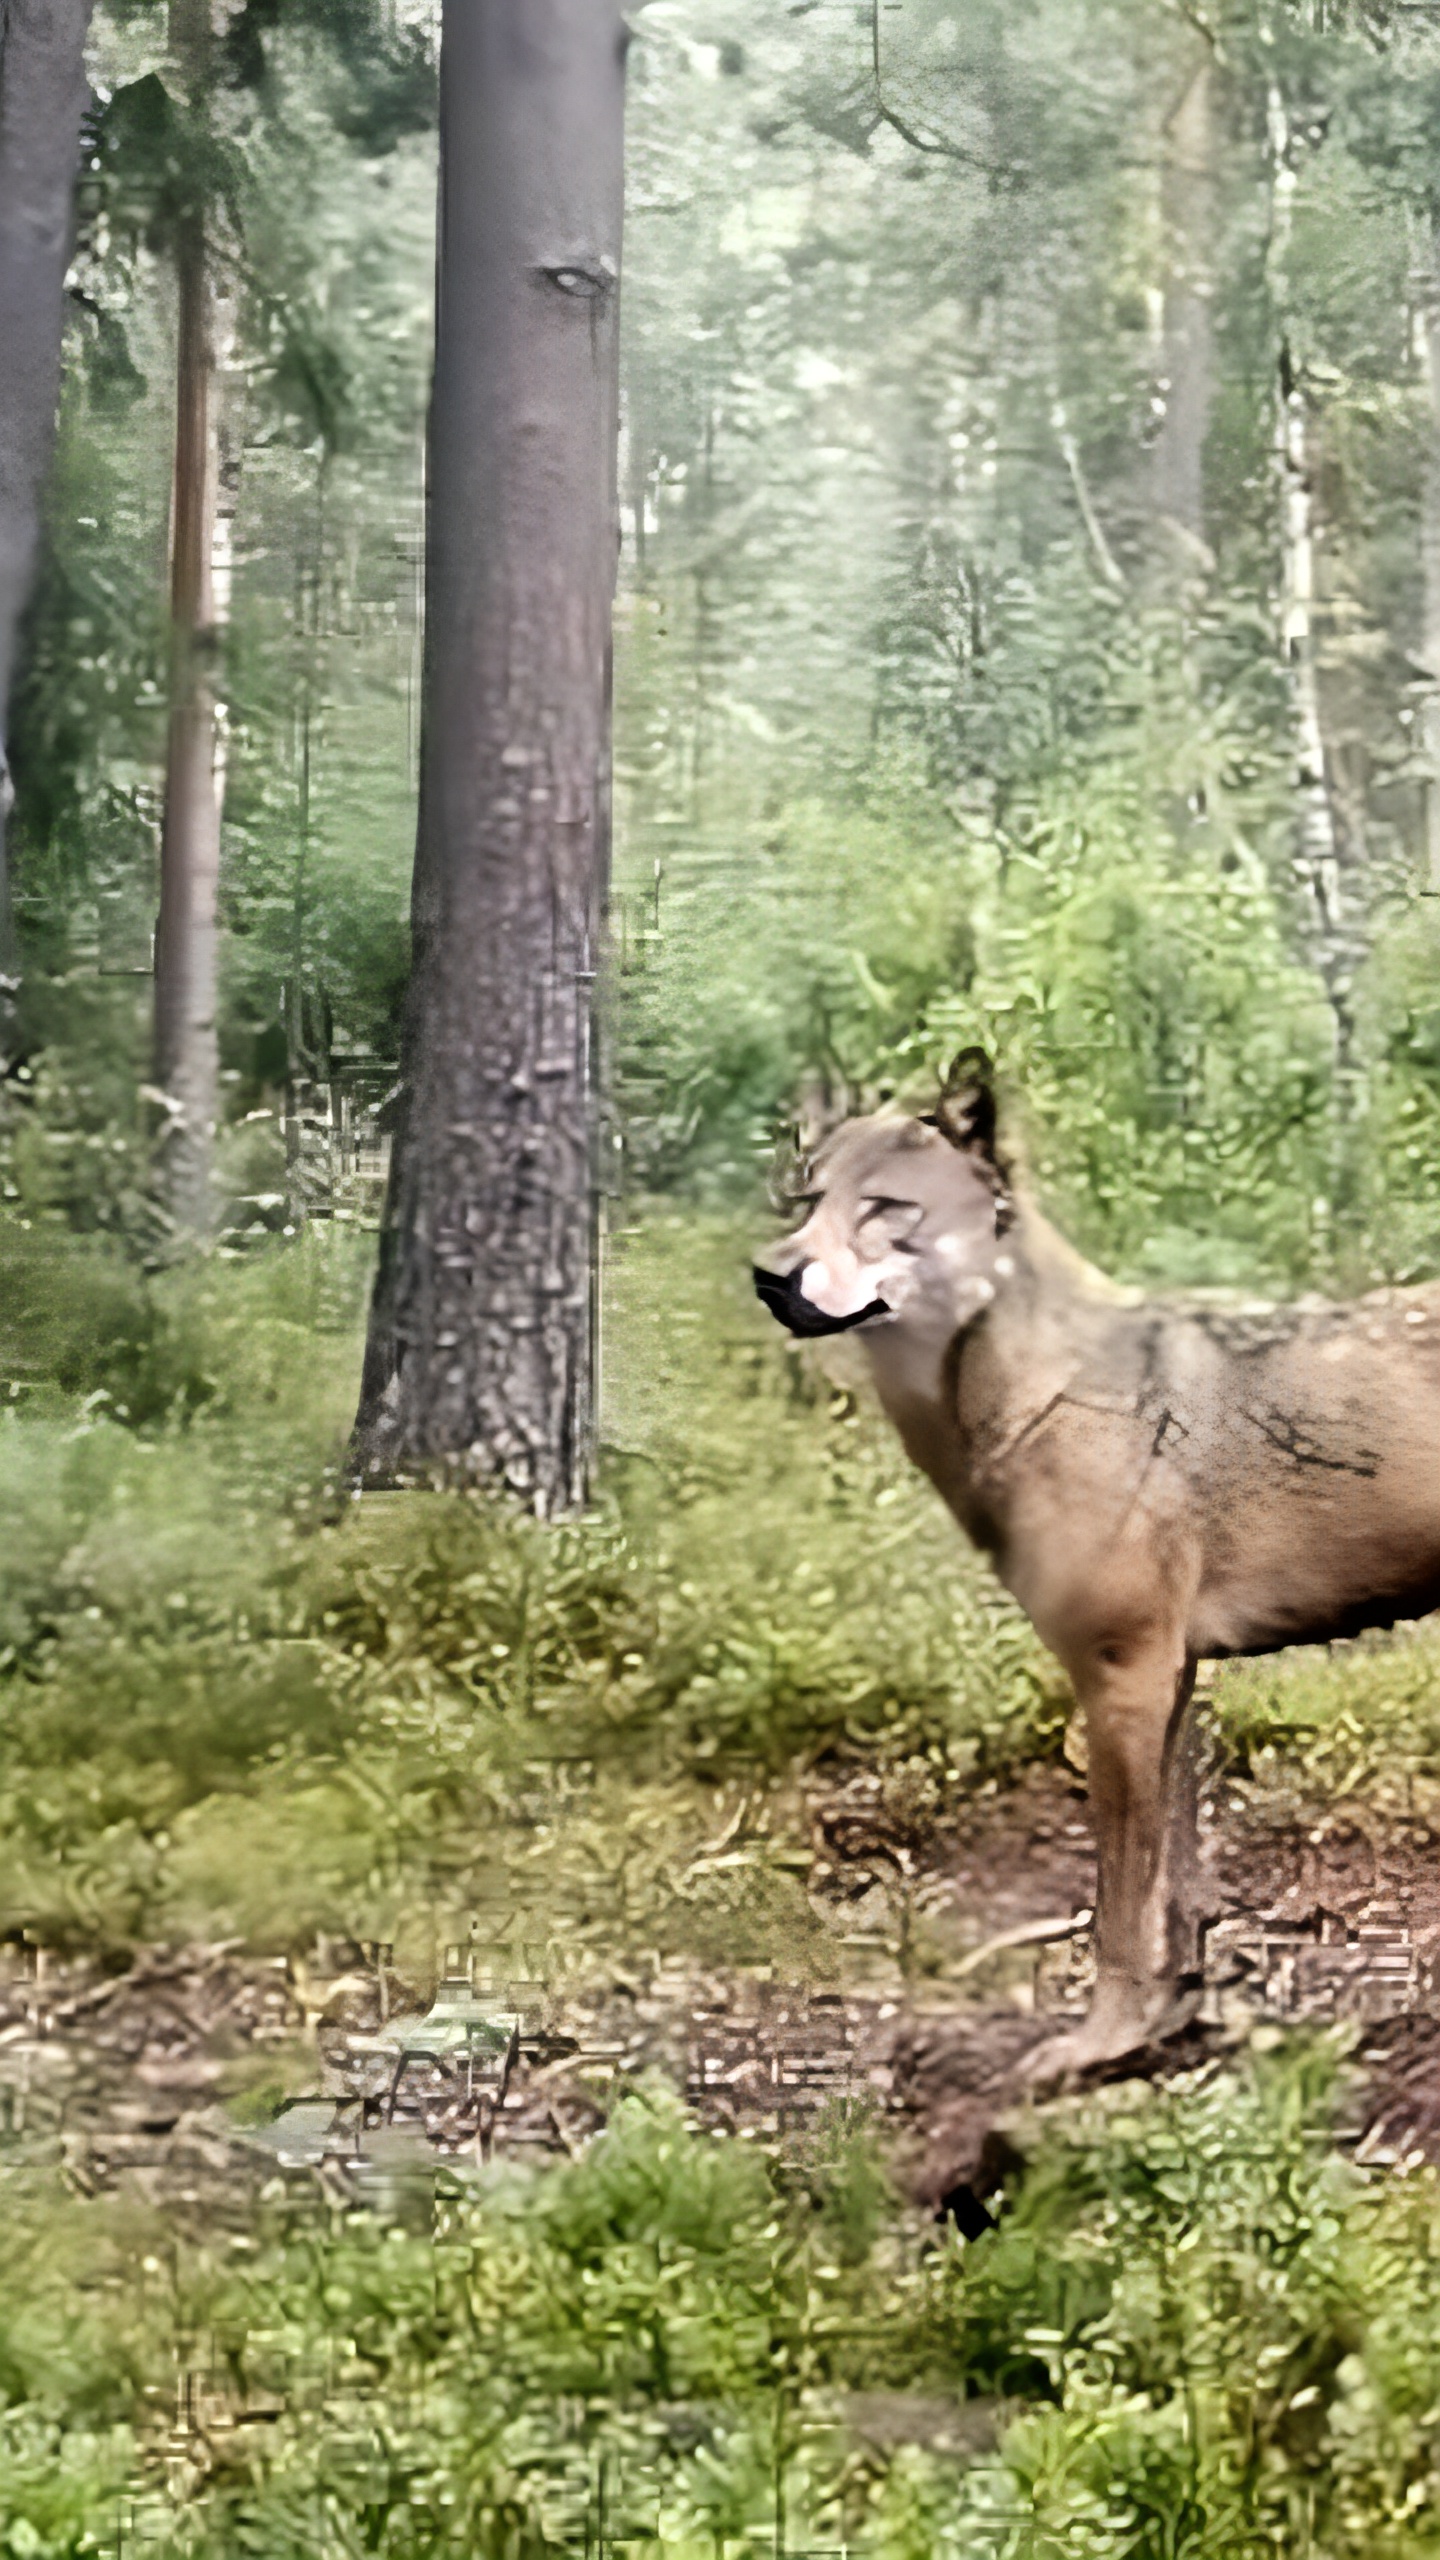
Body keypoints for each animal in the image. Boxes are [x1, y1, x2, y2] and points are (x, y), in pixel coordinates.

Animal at [753, 1049, 1434, 2088]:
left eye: (886, 1208)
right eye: (805, 1200)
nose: (769, 1276)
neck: (1047, 1396)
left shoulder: (1122, 1679)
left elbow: (1118, 1906)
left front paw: (1100, 2042)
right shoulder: (1173, 1681)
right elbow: (1179, 1899)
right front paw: (1170, 2020)